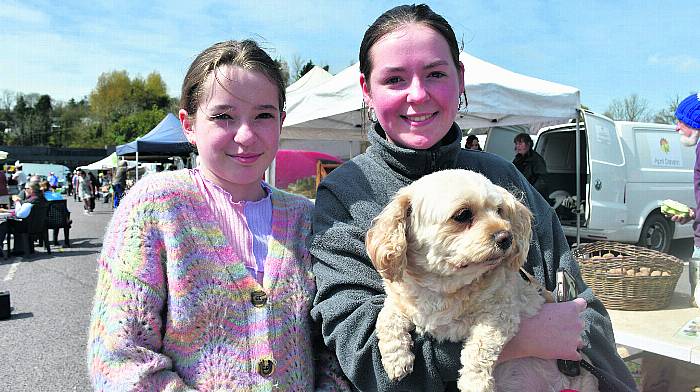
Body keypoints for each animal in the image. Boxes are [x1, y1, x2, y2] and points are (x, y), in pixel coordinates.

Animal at [364, 170, 600, 392]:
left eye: (499, 210)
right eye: (462, 214)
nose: (506, 237)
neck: (444, 288)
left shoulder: (499, 315)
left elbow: (479, 347)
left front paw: (475, 382)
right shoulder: (397, 301)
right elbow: (385, 319)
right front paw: (396, 359)